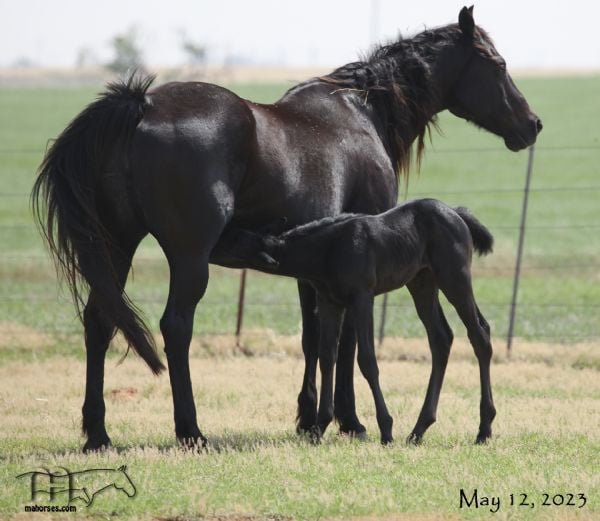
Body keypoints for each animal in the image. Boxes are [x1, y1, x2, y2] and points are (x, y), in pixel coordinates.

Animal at [230, 199, 496, 442]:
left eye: (233, 239)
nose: (219, 235)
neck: (328, 249)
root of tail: (457, 213)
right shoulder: (329, 302)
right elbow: (327, 356)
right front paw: (319, 427)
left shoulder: (362, 298)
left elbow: (367, 360)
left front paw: (386, 429)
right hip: (422, 282)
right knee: (441, 338)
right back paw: (418, 430)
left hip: (455, 278)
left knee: (479, 335)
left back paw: (484, 429)